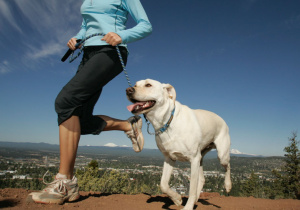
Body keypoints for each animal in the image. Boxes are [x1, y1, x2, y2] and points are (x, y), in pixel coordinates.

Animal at [126, 79, 232, 210]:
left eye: (148, 85)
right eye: (135, 85)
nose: (128, 90)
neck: (168, 122)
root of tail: (222, 119)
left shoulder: (193, 159)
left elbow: (191, 189)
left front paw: (188, 206)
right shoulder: (169, 158)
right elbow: (163, 184)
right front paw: (177, 199)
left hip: (221, 155)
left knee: (228, 166)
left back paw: (228, 185)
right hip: (201, 157)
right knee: (202, 179)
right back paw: (196, 199)